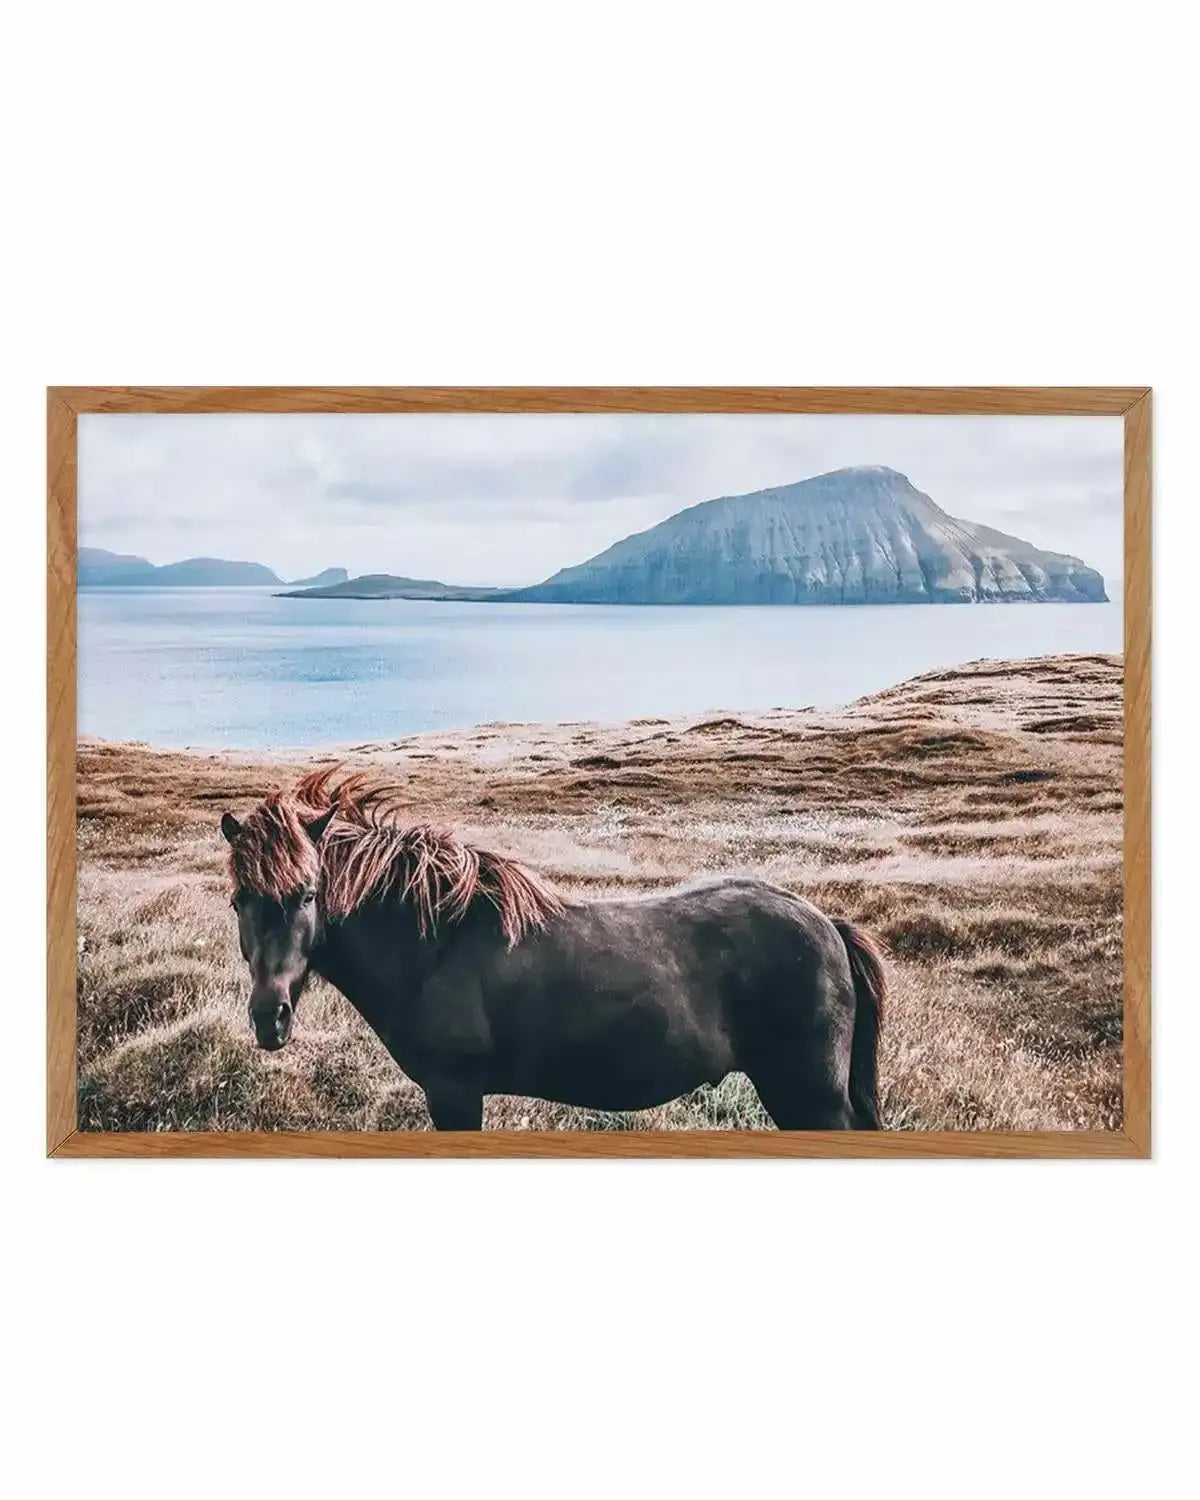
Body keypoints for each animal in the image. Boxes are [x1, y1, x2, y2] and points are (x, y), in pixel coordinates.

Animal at [220, 768, 886, 1130]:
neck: (434, 946)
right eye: (237, 900)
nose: (270, 1018)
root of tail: (828, 925)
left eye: (308, 894)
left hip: (809, 1094)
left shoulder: (454, 1092)